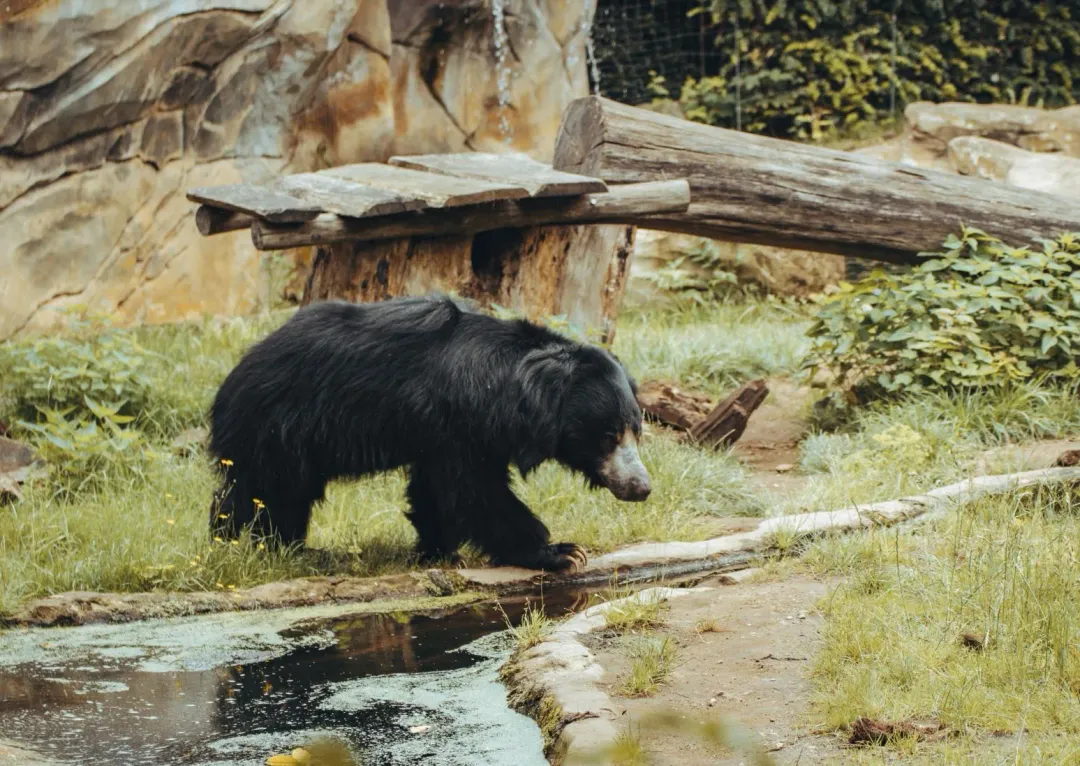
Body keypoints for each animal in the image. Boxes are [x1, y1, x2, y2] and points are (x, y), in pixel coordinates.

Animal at [207, 295, 651, 572]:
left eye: (636, 431)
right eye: (608, 436)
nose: (641, 487)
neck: (511, 392)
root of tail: (236, 373)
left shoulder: (454, 434)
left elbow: (435, 491)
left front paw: (438, 552)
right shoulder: (457, 422)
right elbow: (473, 491)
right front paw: (560, 552)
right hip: (279, 428)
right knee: (269, 493)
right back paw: (259, 547)